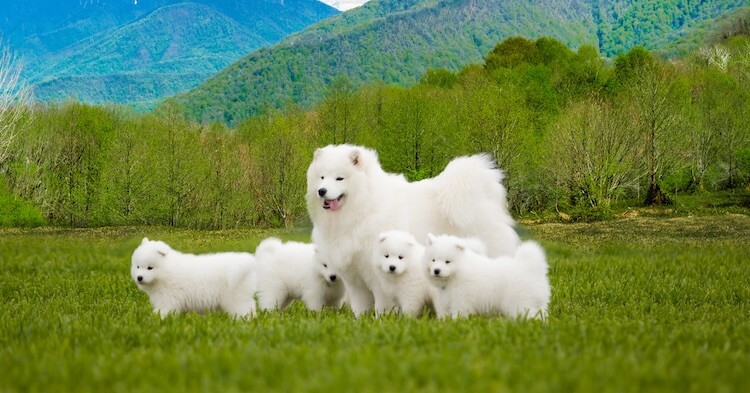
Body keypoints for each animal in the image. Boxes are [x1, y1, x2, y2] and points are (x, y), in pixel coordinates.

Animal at [308, 144, 520, 316]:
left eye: (339, 178)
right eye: (322, 177)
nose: (322, 191)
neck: (364, 206)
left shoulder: (378, 274)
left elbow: (382, 304)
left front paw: (381, 319)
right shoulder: (353, 276)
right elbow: (360, 305)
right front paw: (360, 320)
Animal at [424, 233, 552, 318]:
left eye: (447, 262)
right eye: (433, 260)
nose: (436, 270)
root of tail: (530, 268)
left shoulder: (461, 301)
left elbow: (458, 314)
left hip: (520, 301)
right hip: (539, 303)